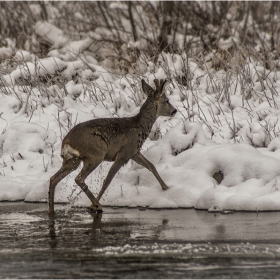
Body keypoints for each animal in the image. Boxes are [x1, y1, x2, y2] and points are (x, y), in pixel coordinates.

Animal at [47, 78, 175, 214]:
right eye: (167, 100)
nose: (174, 110)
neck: (140, 126)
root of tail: (67, 141)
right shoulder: (124, 154)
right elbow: (107, 180)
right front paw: (92, 206)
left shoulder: (134, 152)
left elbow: (151, 166)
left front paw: (166, 188)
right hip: (95, 155)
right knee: (79, 178)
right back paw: (97, 205)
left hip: (72, 159)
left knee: (54, 178)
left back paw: (51, 210)